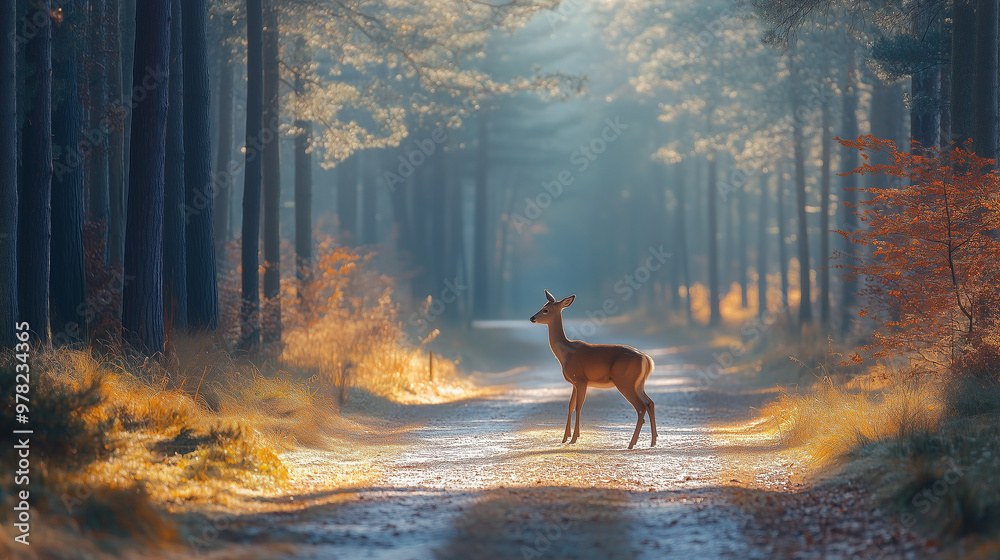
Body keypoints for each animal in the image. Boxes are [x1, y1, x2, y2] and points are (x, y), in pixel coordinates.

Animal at [530, 290, 657, 449]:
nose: (532, 318)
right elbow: (570, 405)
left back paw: (631, 443)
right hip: (638, 383)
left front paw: (574, 438)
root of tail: (646, 358)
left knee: (641, 407)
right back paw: (653, 441)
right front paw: (566, 437)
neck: (565, 353)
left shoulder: (580, 379)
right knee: (650, 403)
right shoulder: (574, 382)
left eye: (546, 310)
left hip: (625, 381)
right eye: (543, 306)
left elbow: (578, 406)